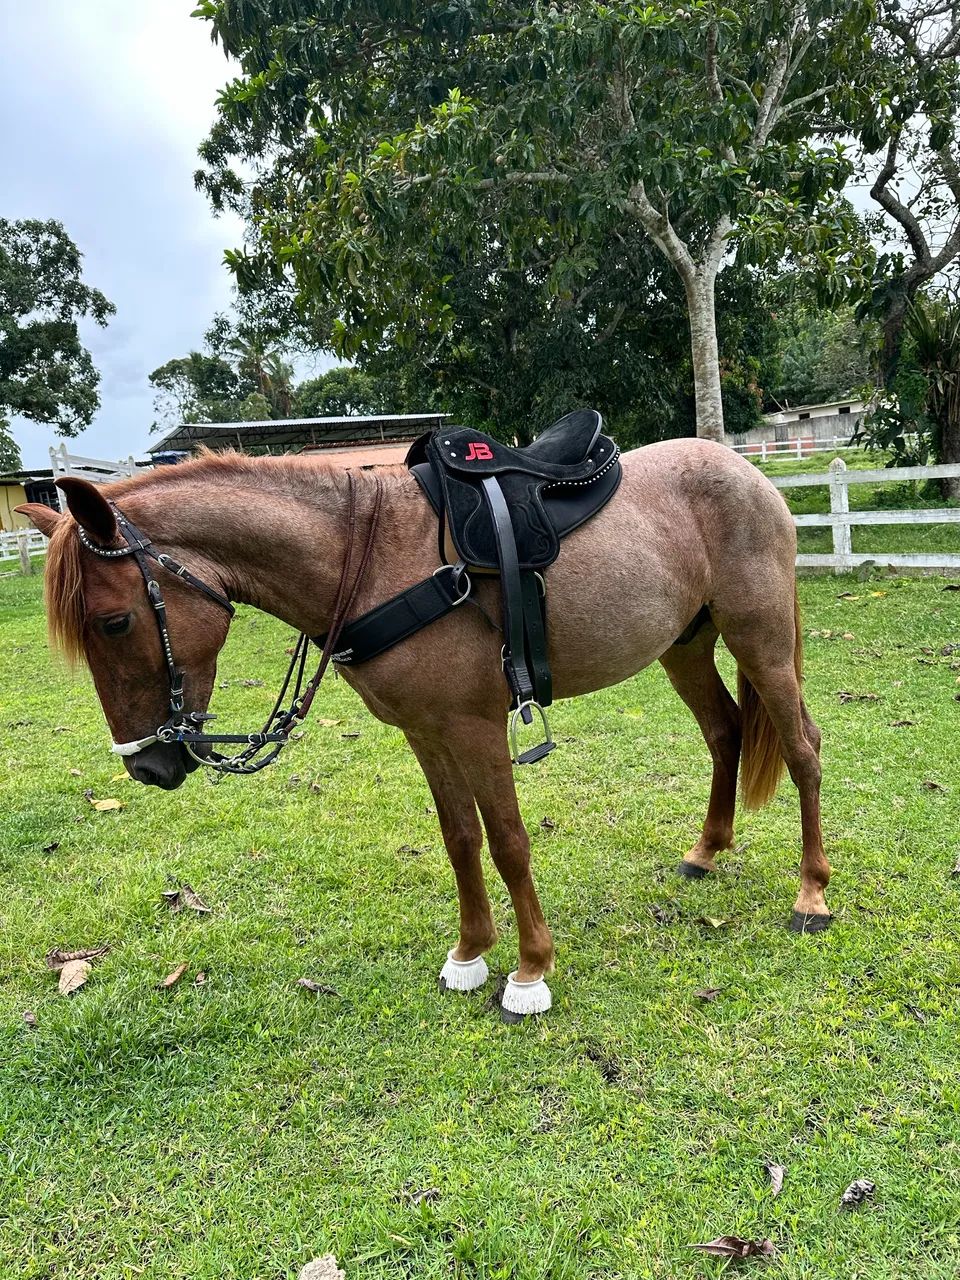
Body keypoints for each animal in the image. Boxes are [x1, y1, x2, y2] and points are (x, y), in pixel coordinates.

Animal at [18, 437, 830, 1019]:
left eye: (113, 622)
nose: (146, 766)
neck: (372, 557)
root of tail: (748, 473)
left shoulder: (477, 727)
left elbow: (508, 842)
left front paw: (529, 972)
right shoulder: (426, 732)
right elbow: (461, 840)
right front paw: (470, 955)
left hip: (759, 638)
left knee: (802, 750)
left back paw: (811, 895)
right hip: (685, 646)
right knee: (725, 734)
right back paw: (706, 851)